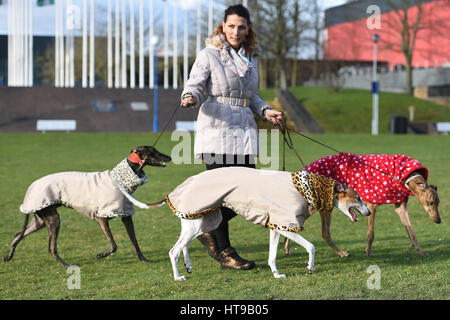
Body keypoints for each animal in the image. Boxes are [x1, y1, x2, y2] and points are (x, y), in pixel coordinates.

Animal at [3, 146, 171, 266]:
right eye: (153, 151)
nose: (169, 157)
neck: (120, 180)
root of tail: (31, 188)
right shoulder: (102, 218)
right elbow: (114, 244)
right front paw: (101, 254)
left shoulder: (126, 216)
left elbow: (135, 242)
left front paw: (144, 260)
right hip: (53, 219)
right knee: (51, 248)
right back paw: (66, 265)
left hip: (41, 220)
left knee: (18, 234)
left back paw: (9, 256)